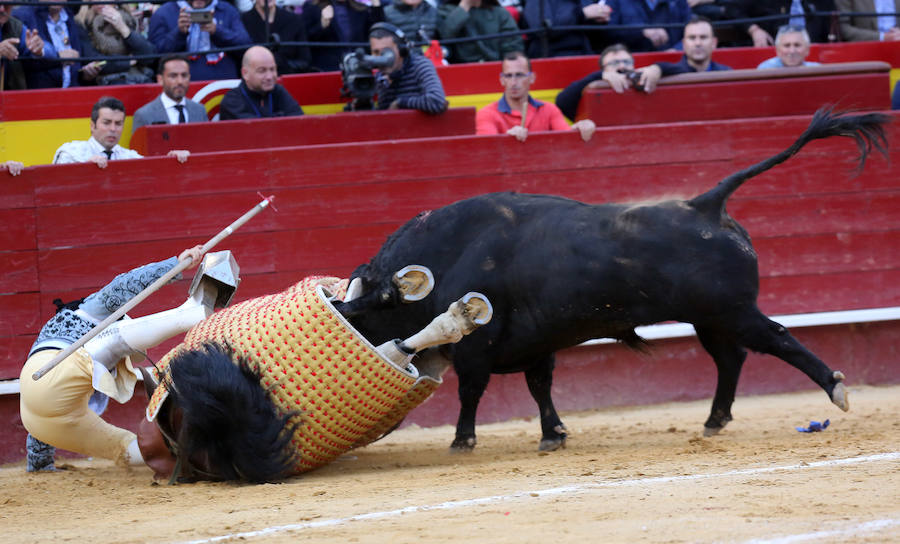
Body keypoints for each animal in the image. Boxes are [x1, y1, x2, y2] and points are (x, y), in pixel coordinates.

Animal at [340, 108, 892, 452]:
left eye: (366, 309)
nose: (346, 326)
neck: (448, 253)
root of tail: (705, 203)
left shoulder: (479, 343)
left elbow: (472, 391)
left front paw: (462, 441)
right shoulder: (536, 344)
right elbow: (540, 388)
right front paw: (553, 435)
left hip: (732, 311)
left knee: (774, 339)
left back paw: (836, 389)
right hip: (711, 319)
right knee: (730, 359)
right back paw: (714, 422)